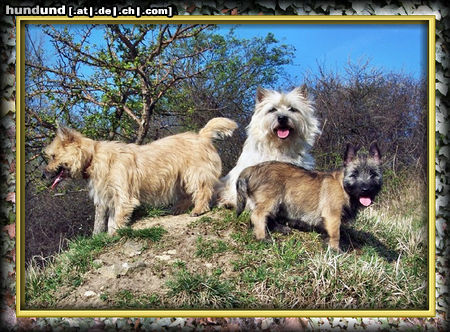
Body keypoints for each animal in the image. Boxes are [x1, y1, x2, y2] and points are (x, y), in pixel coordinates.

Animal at [43, 118, 237, 235]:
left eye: (52, 156)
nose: (43, 174)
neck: (93, 157)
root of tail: (202, 136)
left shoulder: (122, 196)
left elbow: (118, 218)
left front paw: (115, 234)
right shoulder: (112, 197)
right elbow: (111, 220)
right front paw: (111, 234)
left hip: (194, 174)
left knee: (203, 190)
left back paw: (199, 209)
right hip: (180, 179)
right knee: (188, 195)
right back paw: (179, 209)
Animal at [236, 141, 384, 250]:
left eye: (373, 174)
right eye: (354, 174)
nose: (365, 189)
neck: (343, 187)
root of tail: (252, 168)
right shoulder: (333, 215)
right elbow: (336, 234)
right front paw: (335, 250)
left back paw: (281, 228)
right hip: (272, 200)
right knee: (258, 215)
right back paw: (262, 237)